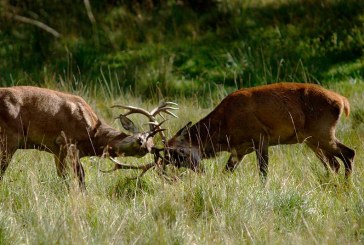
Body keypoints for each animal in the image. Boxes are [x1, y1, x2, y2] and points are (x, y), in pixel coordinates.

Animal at [0, 86, 178, 189]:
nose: (142, 142)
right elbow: (79, 177)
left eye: (149, 146)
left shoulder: (58, 150)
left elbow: (65, 176)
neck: (93, 135)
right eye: (143, 136)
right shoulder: (67, 142)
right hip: (9, 137)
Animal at [161, 82, 356, 180]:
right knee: (334, 163)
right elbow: (225, 173)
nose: (200, 171)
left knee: (349, 153)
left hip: (322, 132)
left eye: (179, 153)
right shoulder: (238, 150)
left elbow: (263, 172)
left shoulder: (260, 136)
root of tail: (343, 101)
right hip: (312, 139)